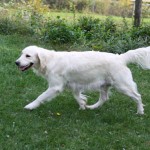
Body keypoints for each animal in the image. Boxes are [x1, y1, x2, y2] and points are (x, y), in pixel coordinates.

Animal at [15, 45, 150, 114]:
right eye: (21, 54)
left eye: (28, 56)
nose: (16, 62)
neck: (49, 60)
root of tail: (120, 57)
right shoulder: (74, 85)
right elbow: (77, 96)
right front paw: (83, 105)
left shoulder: (55, 87)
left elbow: (40, 97)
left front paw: (30, 106)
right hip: (104, 85)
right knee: (104, 98)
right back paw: (92, 107)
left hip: (122, 85)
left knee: (138, 96)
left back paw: (140, 111)